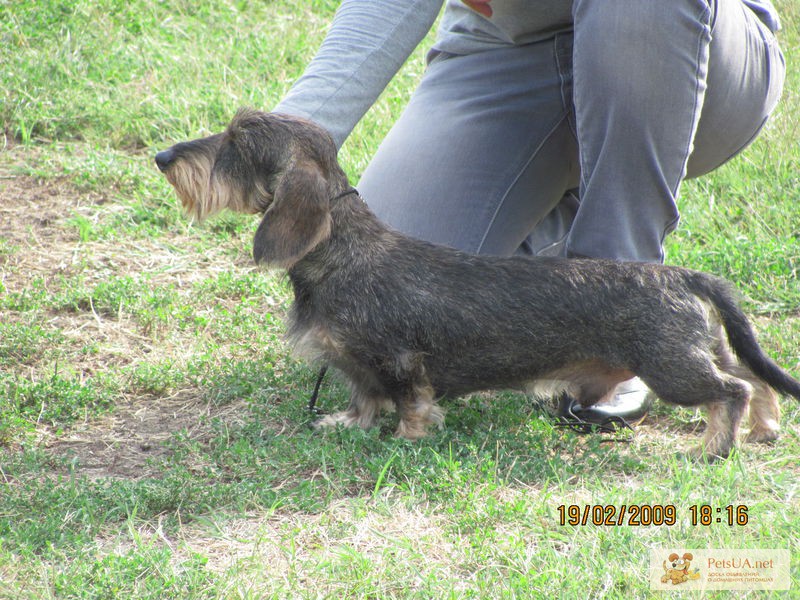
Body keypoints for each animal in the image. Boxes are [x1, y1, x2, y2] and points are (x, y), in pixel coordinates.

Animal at [158, 109, 800, 460]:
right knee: (751, 379)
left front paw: (409, 439)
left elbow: (410, 404)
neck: (343, 253)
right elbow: (363, 399)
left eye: (236, 144)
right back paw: (764, 429)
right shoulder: (359, 367)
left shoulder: (398, 361)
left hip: (670, 367)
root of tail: (682, 274)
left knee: (730, 391)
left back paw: (714, 448)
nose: (164, 157)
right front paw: (350, 425)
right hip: (700, 349)